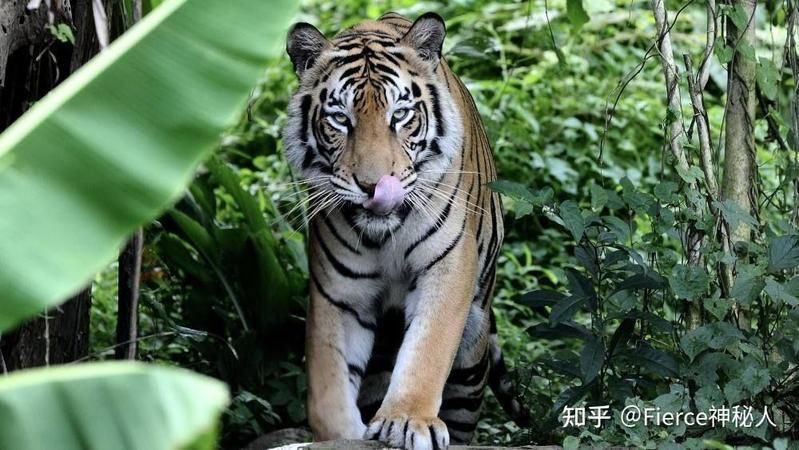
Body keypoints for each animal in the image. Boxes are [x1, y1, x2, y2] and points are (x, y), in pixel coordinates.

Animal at [283, 11, 527, 450]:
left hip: (472, 353)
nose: (373, 185)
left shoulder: (447, 268)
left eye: (399, 115)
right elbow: (329, 382)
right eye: (340, 119)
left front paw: (408, 420)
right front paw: (343, 434)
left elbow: (428, 349)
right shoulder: (339, 293)